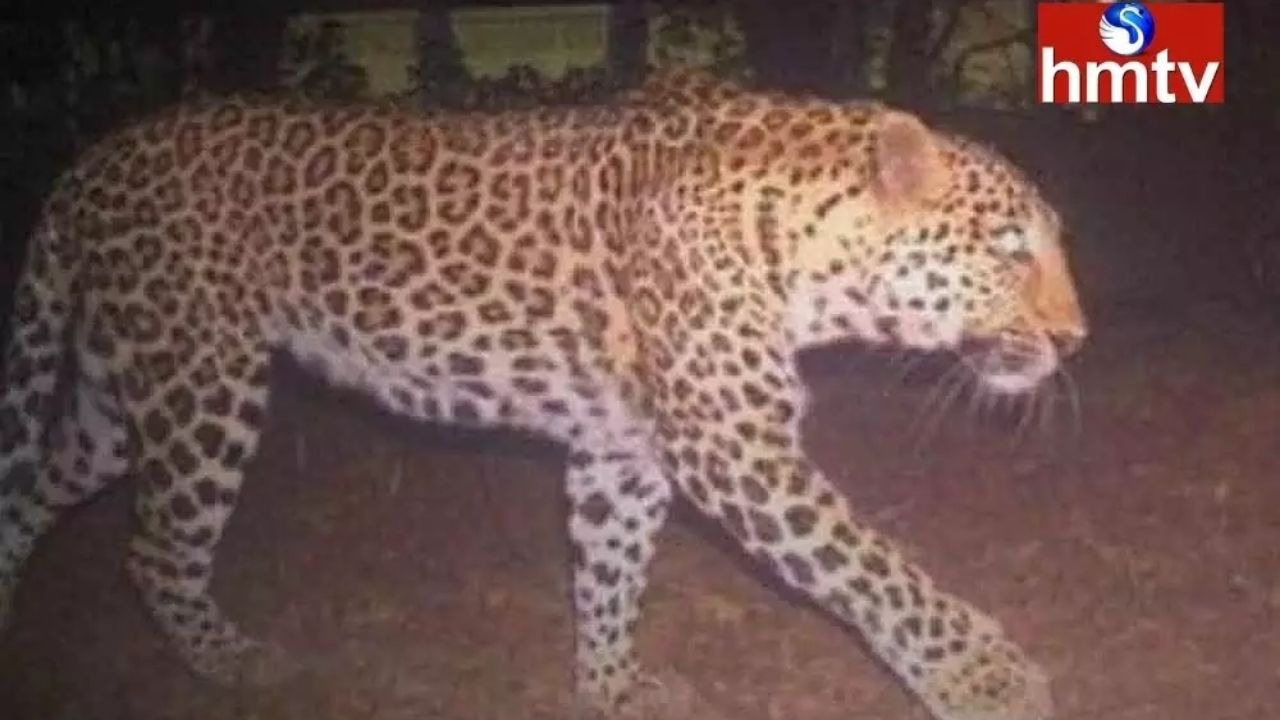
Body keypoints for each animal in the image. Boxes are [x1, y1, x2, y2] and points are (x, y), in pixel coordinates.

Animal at [0, 69, 1085, 720]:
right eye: (1008, 250)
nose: (1075, 338)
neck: (810, 252)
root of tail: (89, 161)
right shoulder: (734, 448)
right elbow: (873, 568)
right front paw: (984, 678)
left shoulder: (622, 447)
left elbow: (607, 571)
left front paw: (608, 689)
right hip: (202, 379)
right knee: (154, 548)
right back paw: (234, 664)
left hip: (119, 390)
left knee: (31, 488)